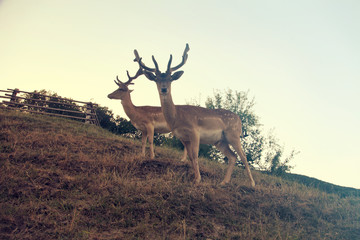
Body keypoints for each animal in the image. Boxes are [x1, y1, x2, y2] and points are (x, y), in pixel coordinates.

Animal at [135, 43, 256, 186]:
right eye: (156, 79)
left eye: (170, 78)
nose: (164, 89)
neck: (176, 117)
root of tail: (239, 119)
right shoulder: (182, 137)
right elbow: (191, 157)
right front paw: (195, 178)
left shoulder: (194, 132)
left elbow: (195, 155)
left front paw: (198, 179)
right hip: (220, 141)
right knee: (233, 156)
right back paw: (223, 182)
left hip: (233, 134)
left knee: (243, 156)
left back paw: (252, 184)